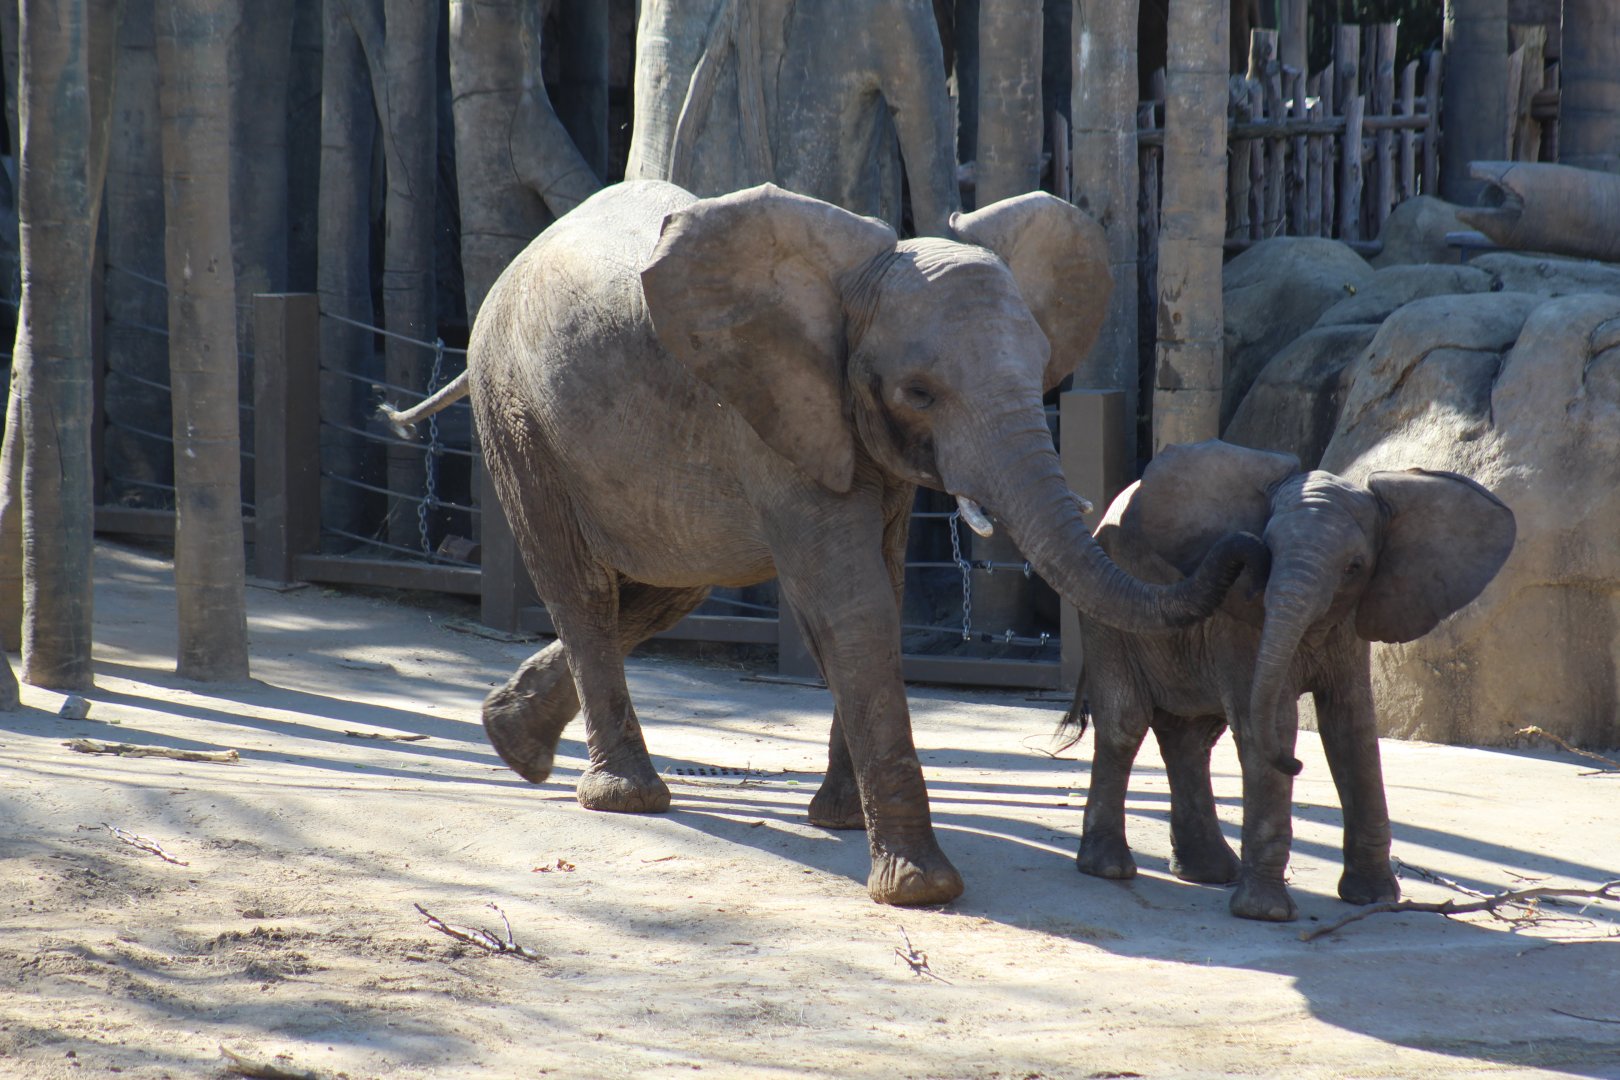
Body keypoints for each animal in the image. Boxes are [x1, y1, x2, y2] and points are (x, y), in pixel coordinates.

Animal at [382, 181, 1266, 907]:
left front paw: (839, 824)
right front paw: (920, 890)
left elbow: (881, 590)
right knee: (584, 587)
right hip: (515, 410)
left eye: (1041, 366)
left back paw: (512, 741)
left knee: (669, 586)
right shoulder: (773, 415)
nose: (1243, 544)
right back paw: (625, 797)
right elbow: (851, 602)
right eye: (919, 392)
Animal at [1068, 440, 1515, 921]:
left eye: (1354, 567)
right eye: (1267, 550)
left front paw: (1375, 898)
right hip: (1106, 619)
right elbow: (1274, 722)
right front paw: (1265, 914)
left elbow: (1353, 727)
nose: (1296, 764)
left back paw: (1210, 873)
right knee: (1127, 723)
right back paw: (1110, 868)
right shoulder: (1241, 624)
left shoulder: (1349, 627)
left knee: (1192, 738)